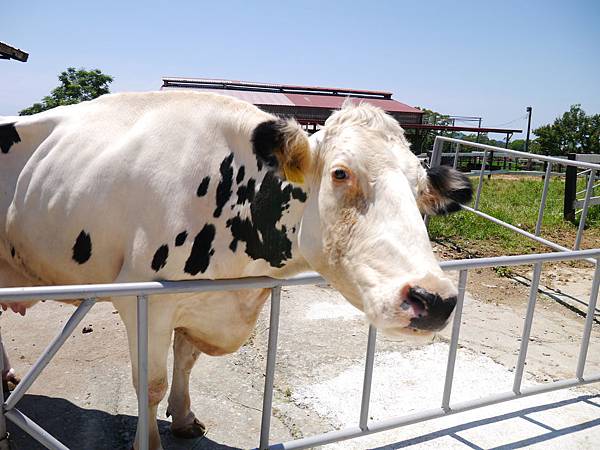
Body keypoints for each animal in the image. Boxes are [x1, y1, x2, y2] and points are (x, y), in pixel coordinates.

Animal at [0, 92, 468, 450]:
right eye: (340, 173)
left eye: (421, 191)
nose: (434, 299)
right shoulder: (143, 300)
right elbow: (150, 384)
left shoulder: (206, 300)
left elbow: (186, 361)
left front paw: (184, 417)